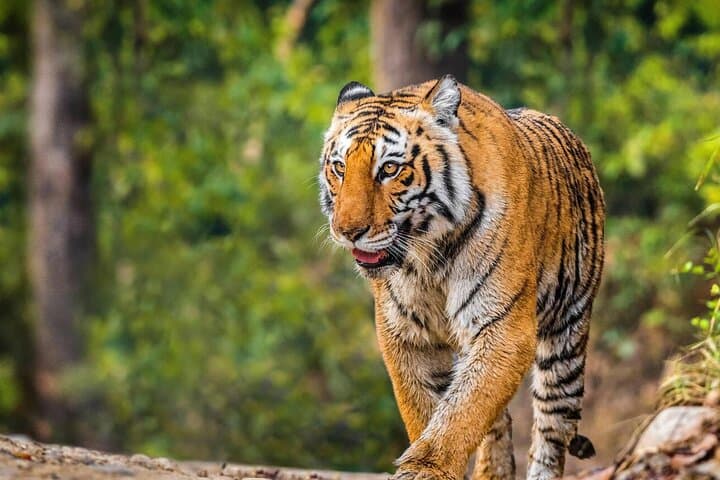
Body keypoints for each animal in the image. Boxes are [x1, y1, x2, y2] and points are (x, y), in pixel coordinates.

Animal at [318, 75, 605, 480]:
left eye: (389, 169)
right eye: (340, 168)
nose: (348, 231)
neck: (426, 255)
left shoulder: (503, 327)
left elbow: (462, 411)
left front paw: (427, 468)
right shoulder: (406, 335)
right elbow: (428, 409)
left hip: (566, 333)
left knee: (551, 428)